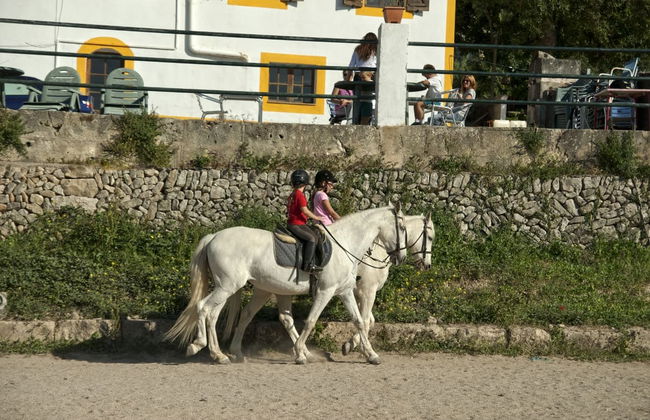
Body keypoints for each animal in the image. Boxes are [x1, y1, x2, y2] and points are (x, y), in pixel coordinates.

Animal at [163, 203, 408, 365]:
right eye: (402, 228)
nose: (401, 257)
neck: (345, 244)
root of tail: (213, 236)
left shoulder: (345, 291)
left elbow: (358, 321)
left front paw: (371, 355)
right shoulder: (326, 291)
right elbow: (311, 320)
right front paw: (299, 352)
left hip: (233, 287)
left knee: (216, 314)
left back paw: (225, 353)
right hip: (227, 286)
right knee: (204, 308)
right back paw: (204, 348)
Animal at [223, 214, 434, 360]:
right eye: (430, 236)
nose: (427, 265)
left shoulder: (355, 292)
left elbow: (367, 321)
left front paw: (351, 346)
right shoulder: (367, 291)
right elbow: (366, 321)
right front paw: (352, 346)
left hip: (268, 288)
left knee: (261, 315)